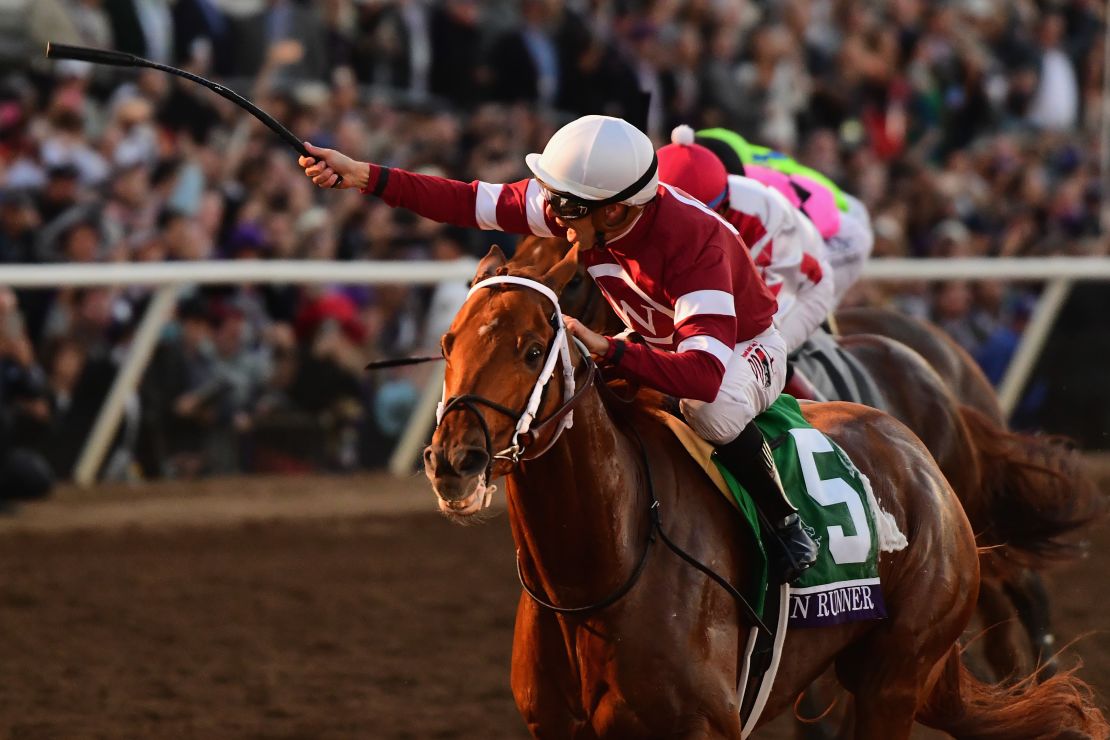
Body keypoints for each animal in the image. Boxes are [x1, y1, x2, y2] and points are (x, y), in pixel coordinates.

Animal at [419, 250, 1105, 740]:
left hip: (895, 673)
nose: (454, 460)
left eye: (533, 349)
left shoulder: (700, 726)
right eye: (449, 344)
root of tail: (917, 453)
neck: (597, 575)